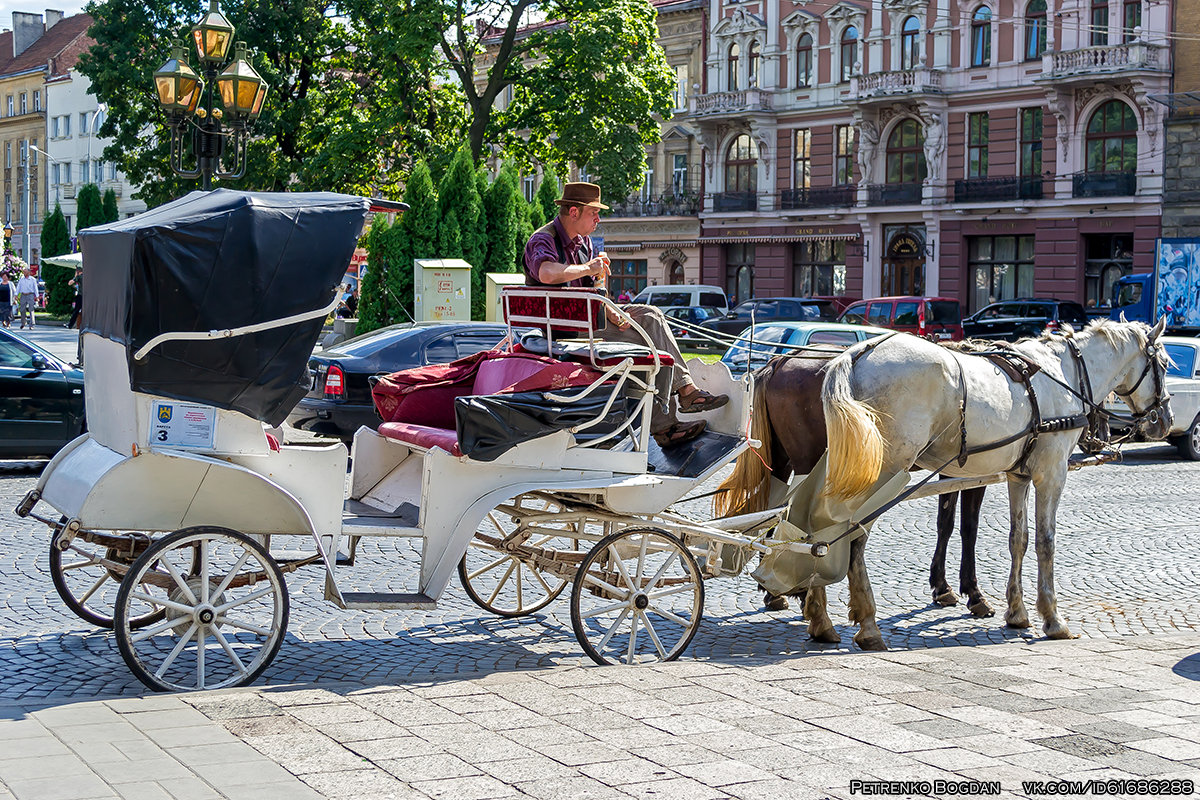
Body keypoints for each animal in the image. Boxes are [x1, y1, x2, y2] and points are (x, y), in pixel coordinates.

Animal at [715, 350, 988, 642]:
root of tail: (781, 361)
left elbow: (946, 524)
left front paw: (943, 586)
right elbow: (967, 527)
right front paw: (971, 593)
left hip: (781, 458)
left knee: (773, 509)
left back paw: (779, 591)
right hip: (807, 460)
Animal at [820, 316, 1166, 647]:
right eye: (1163, 363)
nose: (1163, 420)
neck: (1064, 373)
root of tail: (857, 353)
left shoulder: (1018, 475)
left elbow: (1018, 539)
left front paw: (1017, 612)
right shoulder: (1051, 474)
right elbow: (1045, 542)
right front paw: (1052, 618)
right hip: (884, 475)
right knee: (853, 537)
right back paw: (866, 624)